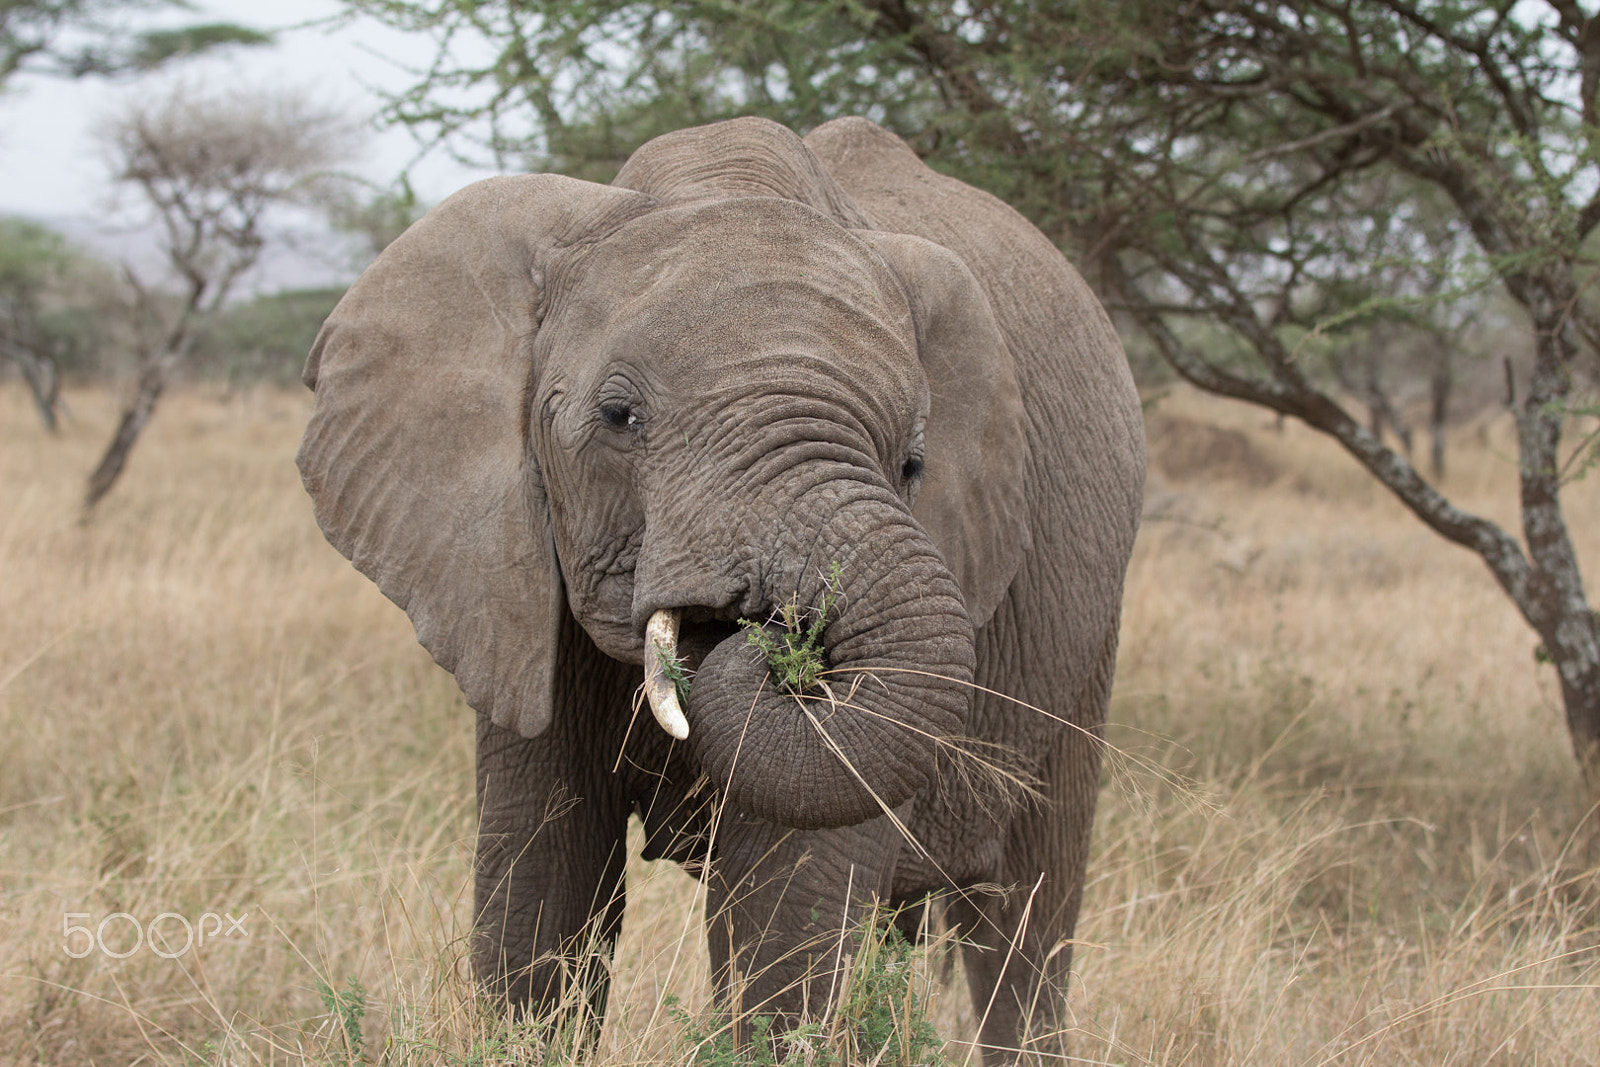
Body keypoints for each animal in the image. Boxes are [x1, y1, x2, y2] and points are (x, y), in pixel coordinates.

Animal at [297, 116, 1144, 1062]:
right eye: (618, 417)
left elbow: (788, 907)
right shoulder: (508, 578)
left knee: (1026, 920)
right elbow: (542, 879)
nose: (767, 630)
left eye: (913, 464)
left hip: (1088, 641)